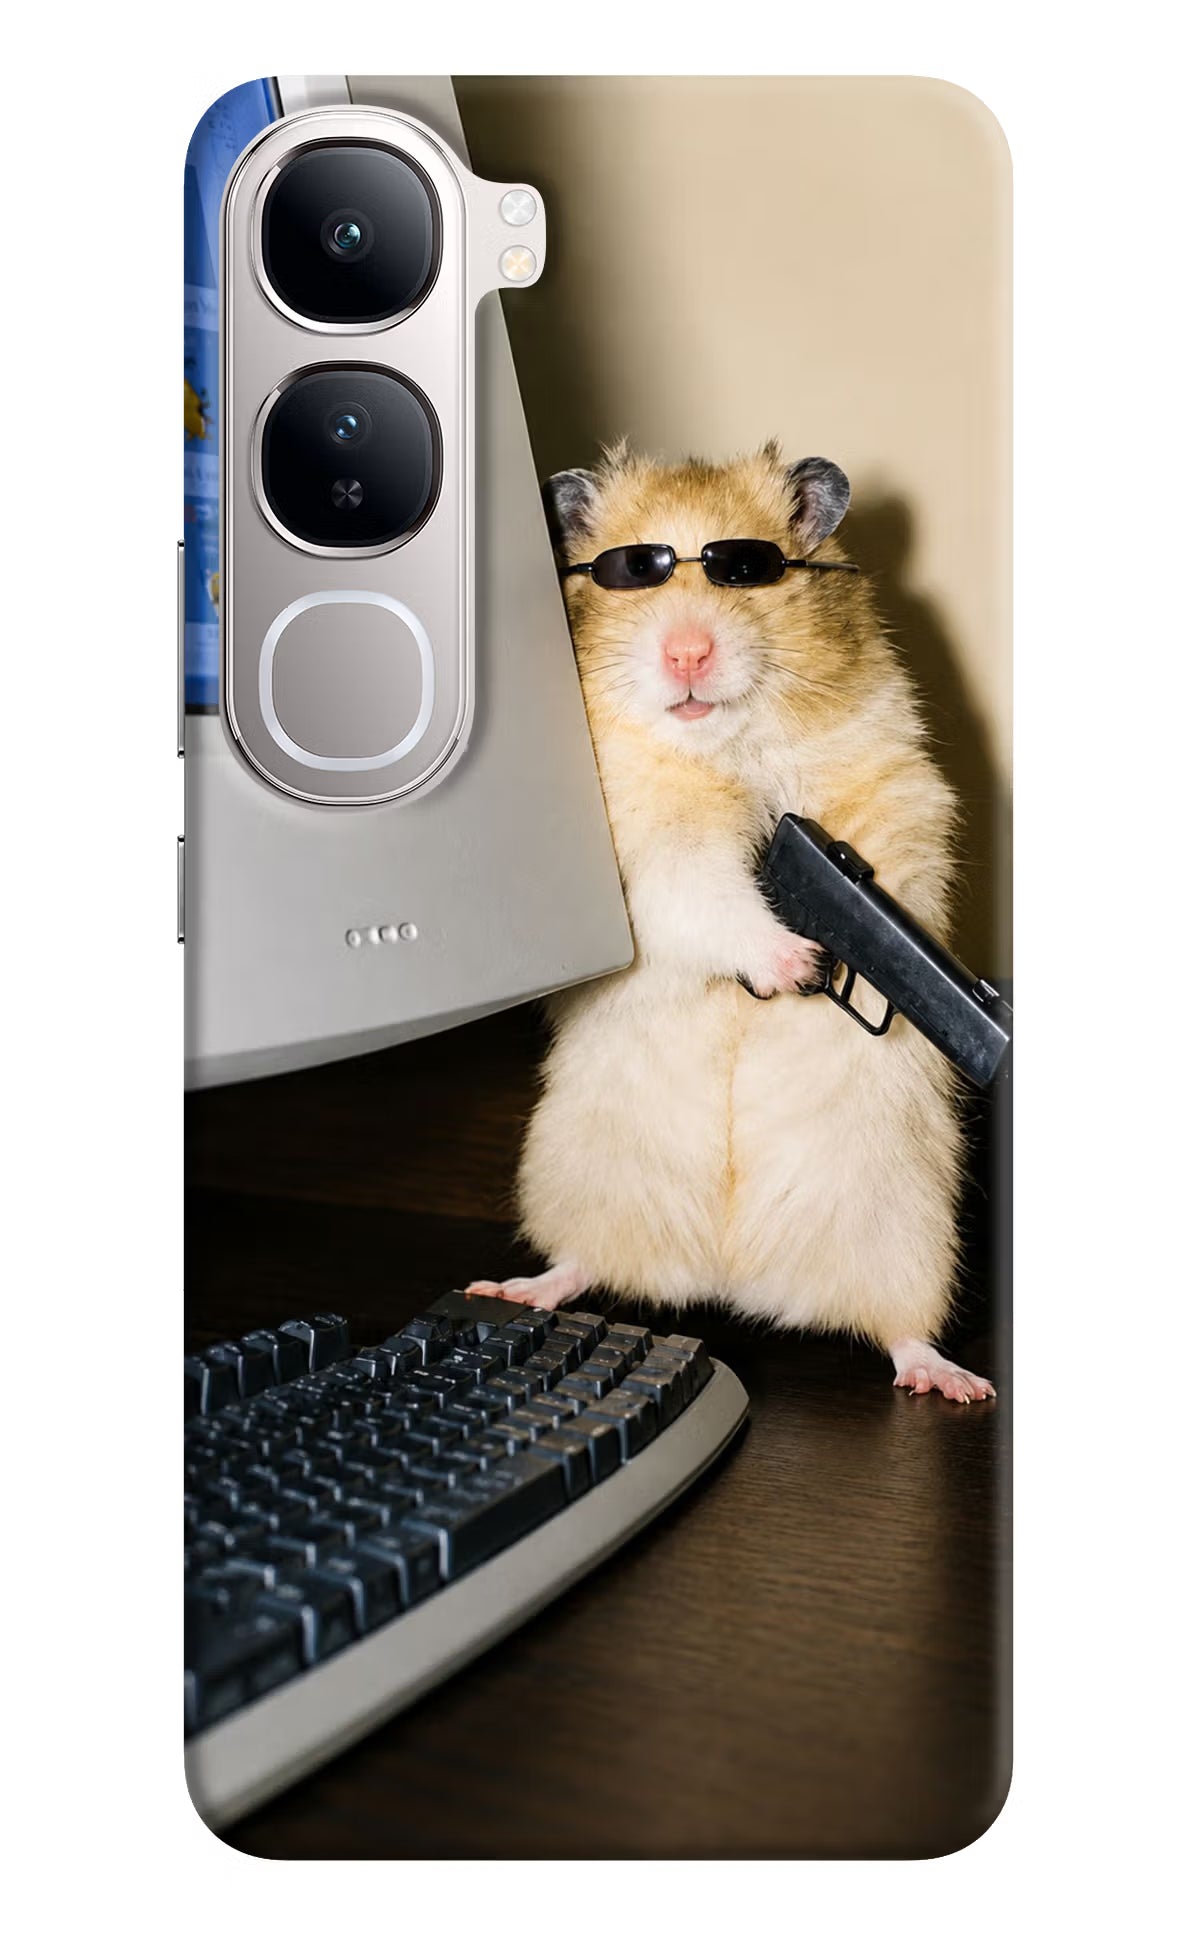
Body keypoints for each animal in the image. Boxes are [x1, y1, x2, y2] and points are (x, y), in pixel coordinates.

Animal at [468, 443, 994, 1402]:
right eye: (633, 572)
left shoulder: (896, 788)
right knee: (582, 1262)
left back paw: (954, 1382)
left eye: (746, 570)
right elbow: (707, 895)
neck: (724, 747)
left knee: (900, 1329)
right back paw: (514, 1288)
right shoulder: (648, 852)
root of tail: (730, 1277)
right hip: (578, 1175)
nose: (686, 652)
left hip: (908, 1229)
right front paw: (796, 964)